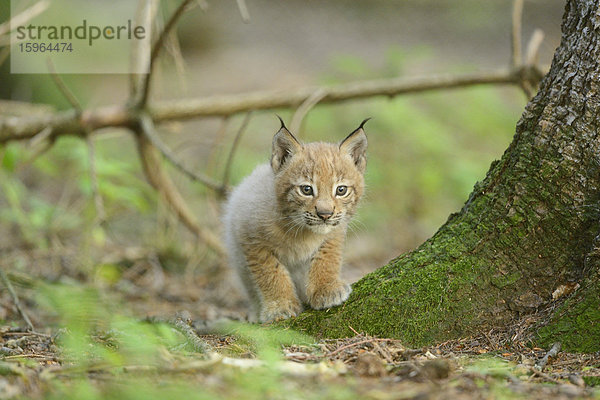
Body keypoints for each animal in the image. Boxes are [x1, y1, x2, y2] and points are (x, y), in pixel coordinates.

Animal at [223, 118, 368, 322]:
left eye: (341, 190)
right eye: (306, 190)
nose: (325, 214)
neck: (301, 231)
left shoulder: (336, 230)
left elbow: (327, 258)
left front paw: (326, 288)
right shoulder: (250, 236)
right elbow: (271, 272)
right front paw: (280, 306)